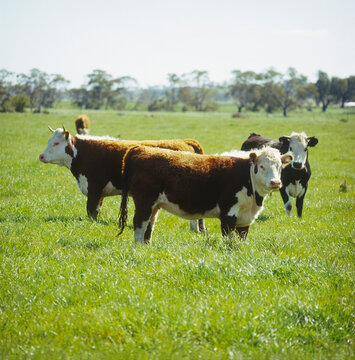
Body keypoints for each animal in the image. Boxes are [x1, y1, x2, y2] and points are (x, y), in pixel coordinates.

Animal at [39, 128, 206, 232]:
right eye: (49, 141)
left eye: (56, 143)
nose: (41, 156)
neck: (84, 152)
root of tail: (184, 141)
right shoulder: (100, 193)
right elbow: (96, 210)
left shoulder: (94, 188)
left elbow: (91, 210)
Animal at [118, 145, 294, 243]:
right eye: (262, 166)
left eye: (279, 166)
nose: (275, 182)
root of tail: (140, 148)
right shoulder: (228, 214)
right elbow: (228, 239)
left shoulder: (245, 219)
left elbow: (242, 238)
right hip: (144, 201)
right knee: (140, 224)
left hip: (154, 205)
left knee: (149, 224)